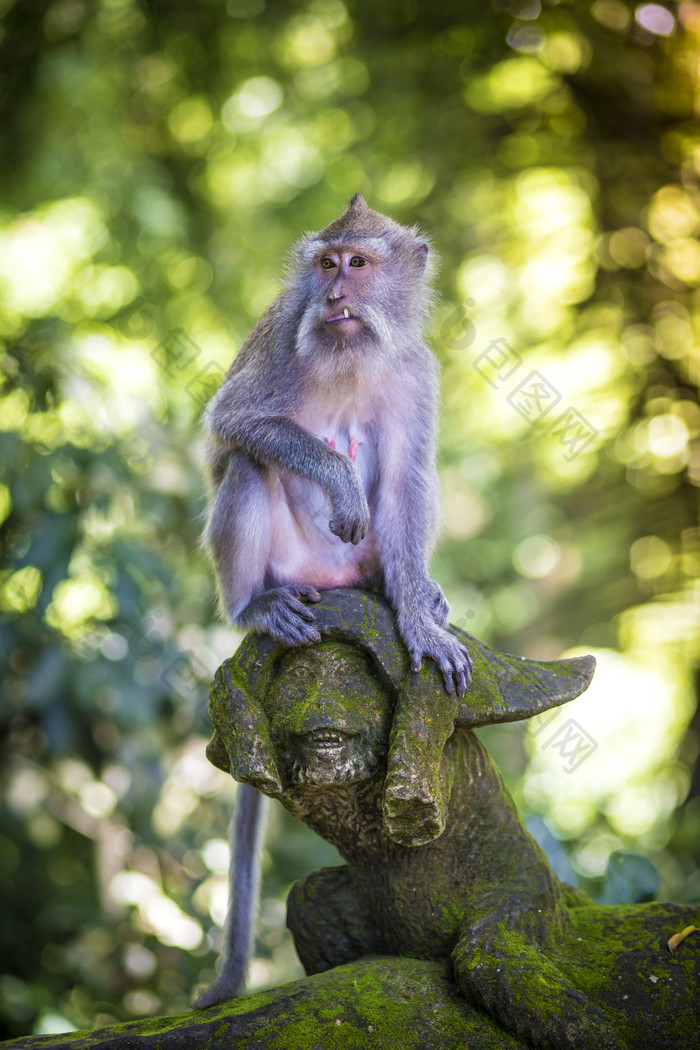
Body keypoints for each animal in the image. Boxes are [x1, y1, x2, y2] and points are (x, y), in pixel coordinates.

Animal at [194, 197, 474, 1007]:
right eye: (325, 264)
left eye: (359, 263)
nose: (336, 295)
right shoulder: (281, 339)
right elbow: (235, 424)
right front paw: (341, 482)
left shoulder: (418, 371)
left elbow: (409, 476)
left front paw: (419, 622)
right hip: (294, 566)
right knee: (249, 465)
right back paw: (254, 608)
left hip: (359, 562)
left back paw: (409, 592)